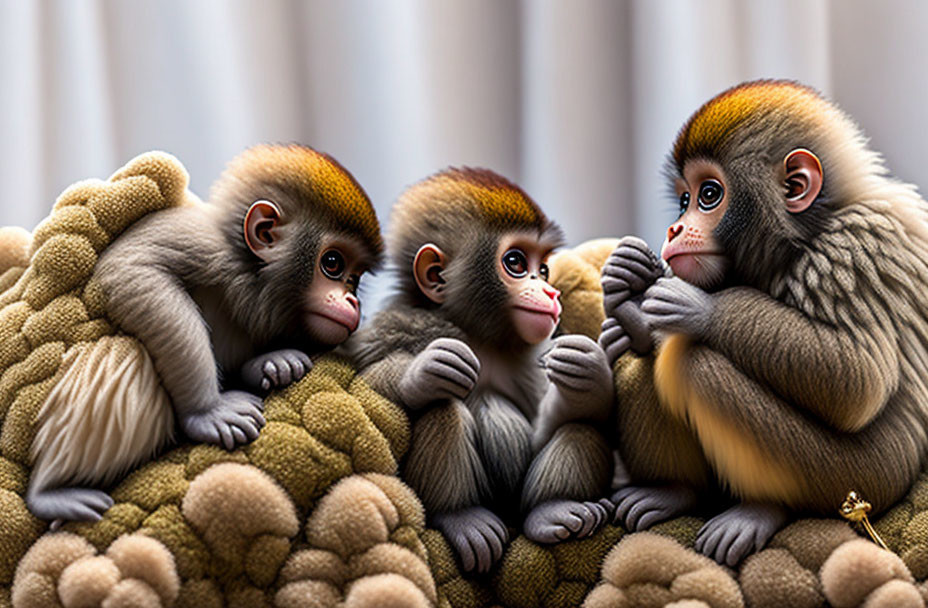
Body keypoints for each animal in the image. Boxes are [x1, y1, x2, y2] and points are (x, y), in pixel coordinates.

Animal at [25, 144, 382, 524]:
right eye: (332, 264)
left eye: (355, 279)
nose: (352, 301)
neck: (249, 273)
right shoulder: (206, 245)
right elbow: (130, 266)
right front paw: (206, 412)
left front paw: (272, 363)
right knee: (123, 354)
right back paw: (51, 492)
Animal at [352, 167, 620, 576]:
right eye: (516, 262)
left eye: (543, 269)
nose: (552, 293)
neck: (484, 338)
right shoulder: (400, 323)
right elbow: (365, 378)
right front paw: (423, 372)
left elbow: (547, 424)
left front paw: (588, 373)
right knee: (444, 410)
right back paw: (461, 515)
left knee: (582, 428)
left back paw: (552, 509)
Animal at [596, 79, 928, 564]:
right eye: (683, 200)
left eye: (708, 195)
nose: (675, 229)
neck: (805, 235)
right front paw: (626, 295)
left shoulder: (853, 248)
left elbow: (858, 379)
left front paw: (700, 308)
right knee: (644, 362)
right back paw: (675, 491)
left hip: (861, 477)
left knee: (694, 362)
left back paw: (762, 508)